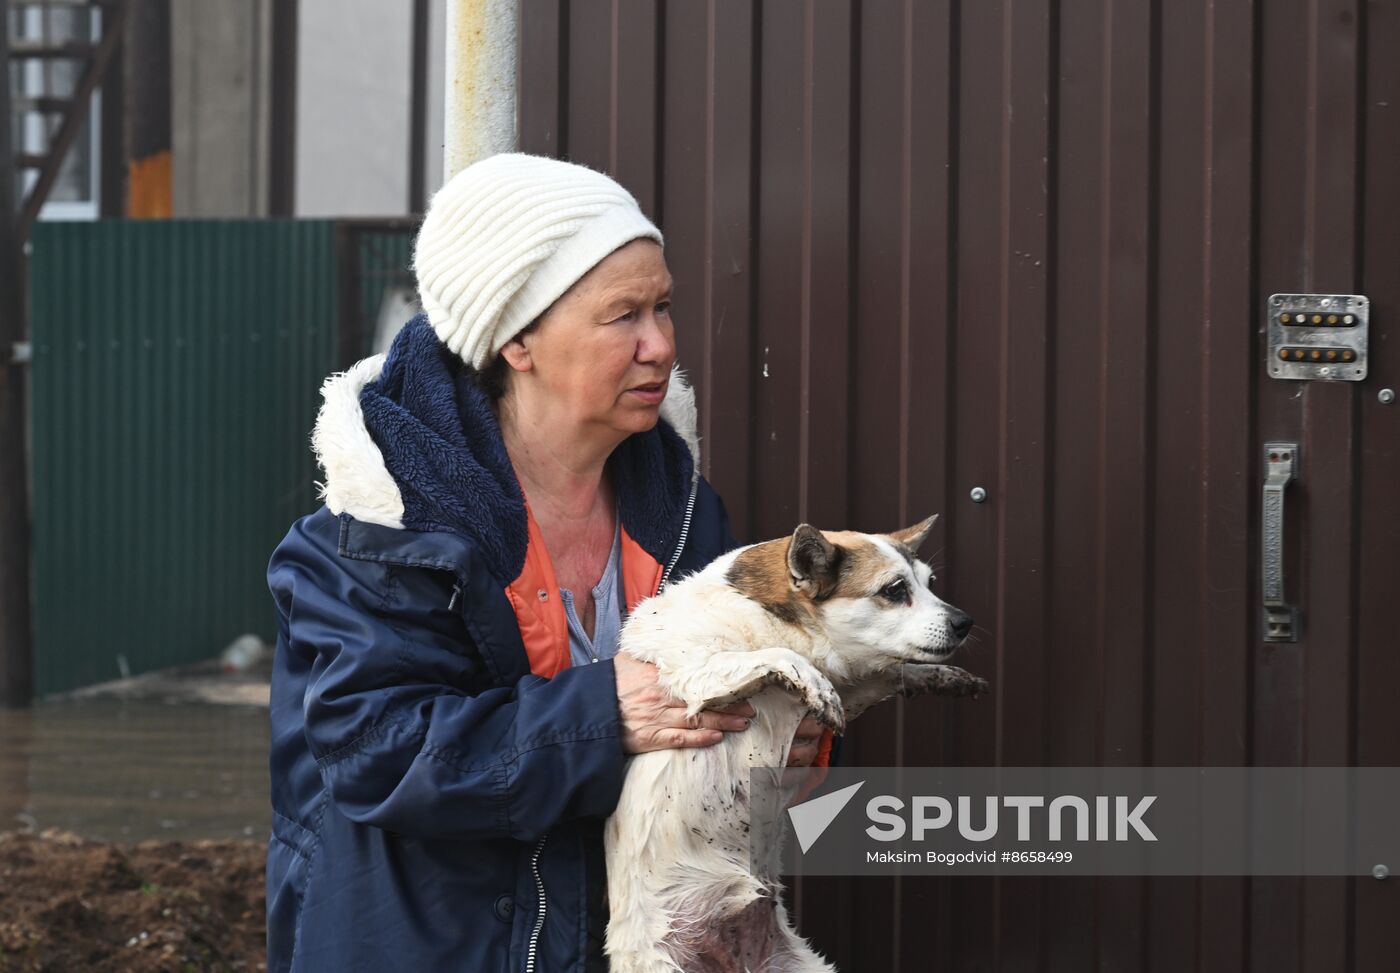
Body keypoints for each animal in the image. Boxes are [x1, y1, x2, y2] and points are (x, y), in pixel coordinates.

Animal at [602, 515, 985, 968]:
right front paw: (814, 683)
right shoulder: (697, 677)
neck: (780, 621)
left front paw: (944, 678)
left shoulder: (856, 686)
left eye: (930, 582)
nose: (965, 623)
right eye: (894, 590)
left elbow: (893, 671)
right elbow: (780, 659)